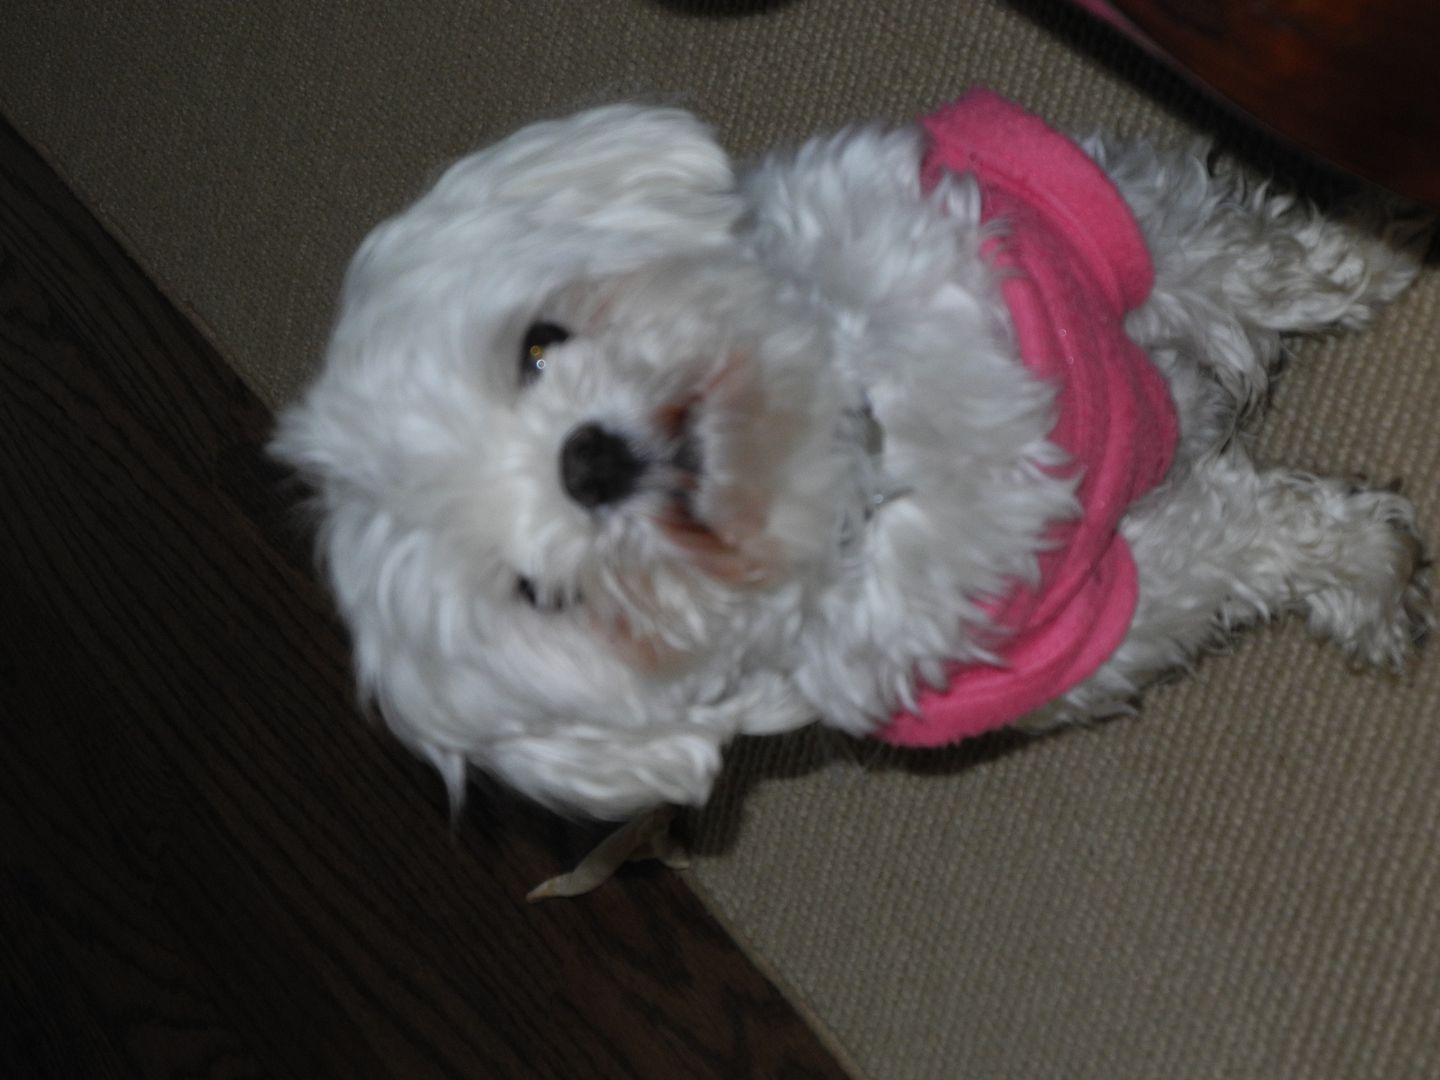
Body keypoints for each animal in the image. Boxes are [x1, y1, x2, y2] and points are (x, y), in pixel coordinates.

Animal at [270, 91, 1428, 817]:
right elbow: (1252, 539)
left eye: (536, 347)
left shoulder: (1098, 229)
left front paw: (1374, 237)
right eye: (541, 597)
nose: (588, 465)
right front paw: (1374, 570)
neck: (864, 449)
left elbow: (1249, 258)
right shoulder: (1109, 610)